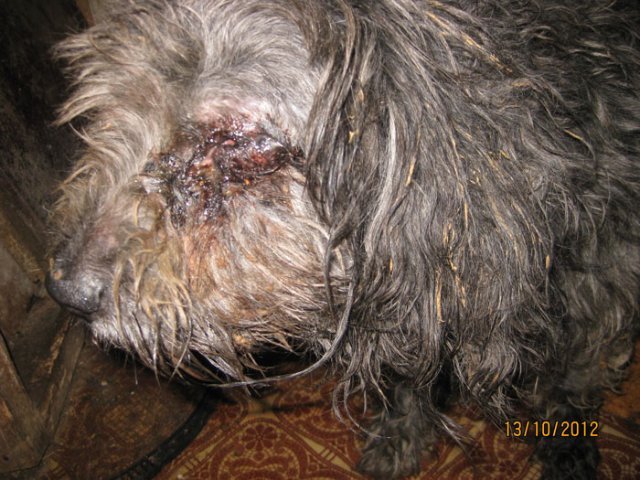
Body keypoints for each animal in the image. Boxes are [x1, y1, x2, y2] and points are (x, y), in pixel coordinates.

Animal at [46, 1, 640, 478]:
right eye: (113, 106)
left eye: (235, 144)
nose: (65, 292)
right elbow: (409, 380)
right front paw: (400, 432)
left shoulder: (602, 300)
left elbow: (576, 377)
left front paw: (566, 439)